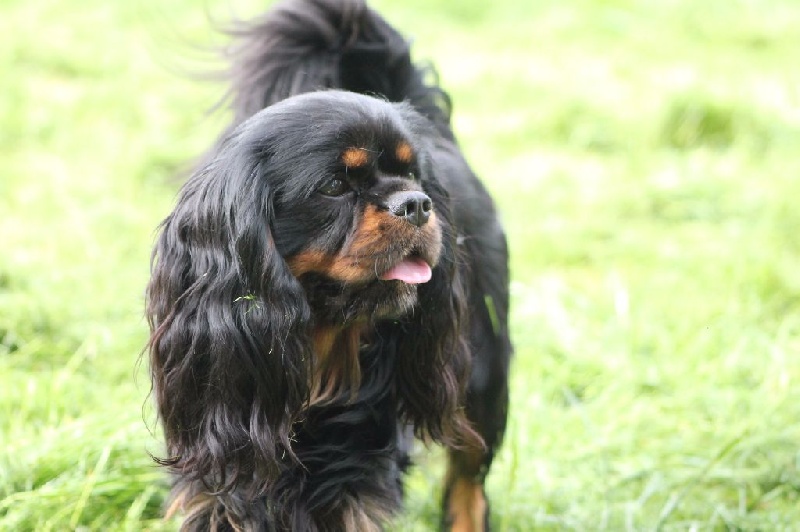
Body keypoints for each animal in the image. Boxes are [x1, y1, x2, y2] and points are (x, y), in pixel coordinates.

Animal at [146, 2, 510, 528]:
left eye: (413, 176)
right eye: (335, 187)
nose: (417, 204)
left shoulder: (350, 491)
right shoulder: (218, 476)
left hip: (482, 374)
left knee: (469, 475)